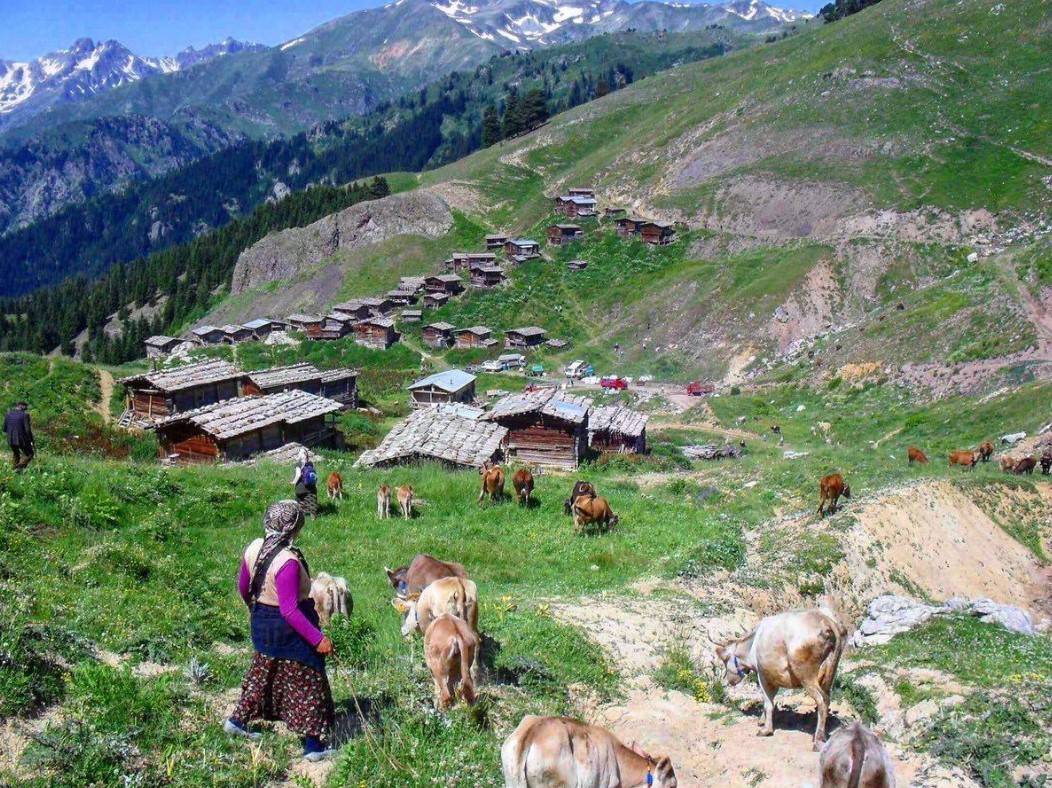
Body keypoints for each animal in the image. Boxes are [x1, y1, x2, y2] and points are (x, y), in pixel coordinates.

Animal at [711, 610, 850, 749]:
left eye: (725, 660)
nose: (729, 680)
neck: (752, 646)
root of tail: (826, 621)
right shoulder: (775, 678)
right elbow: (771, 701)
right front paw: (762, 720)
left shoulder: (763, 676)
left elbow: (768, 703)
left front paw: (766, 730)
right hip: (830, 672)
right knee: (827, 699)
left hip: (805, 674)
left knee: (821, 700)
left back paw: (818, 739)